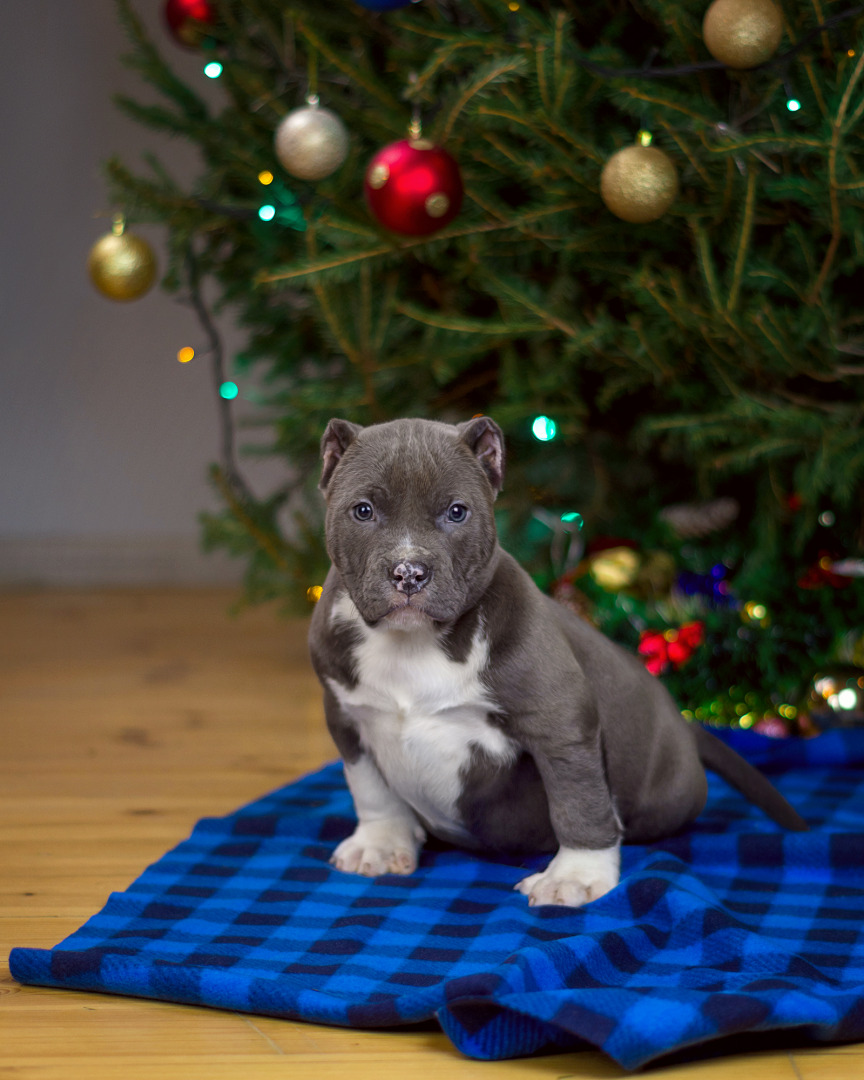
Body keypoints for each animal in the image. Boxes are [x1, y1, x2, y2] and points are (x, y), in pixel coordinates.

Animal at [306, 416, 807, 907]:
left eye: (457, 512)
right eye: (363, 511)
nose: (409, 572)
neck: (412, 643)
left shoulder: (561, 723)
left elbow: (578, 799)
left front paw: (576, 875)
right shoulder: (344, 717)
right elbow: (370, 788)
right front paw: (381, 842)